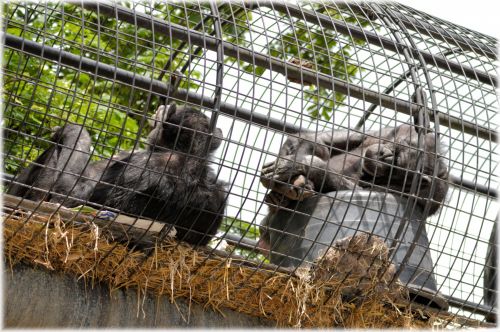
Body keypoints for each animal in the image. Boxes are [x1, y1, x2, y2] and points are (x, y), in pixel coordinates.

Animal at [1, 0, 498, 330]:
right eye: (400, 152)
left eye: (404, 168)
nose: (390, 159)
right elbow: (323, 141)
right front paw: (295, 162)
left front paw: (306, 177)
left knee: (75, 141)